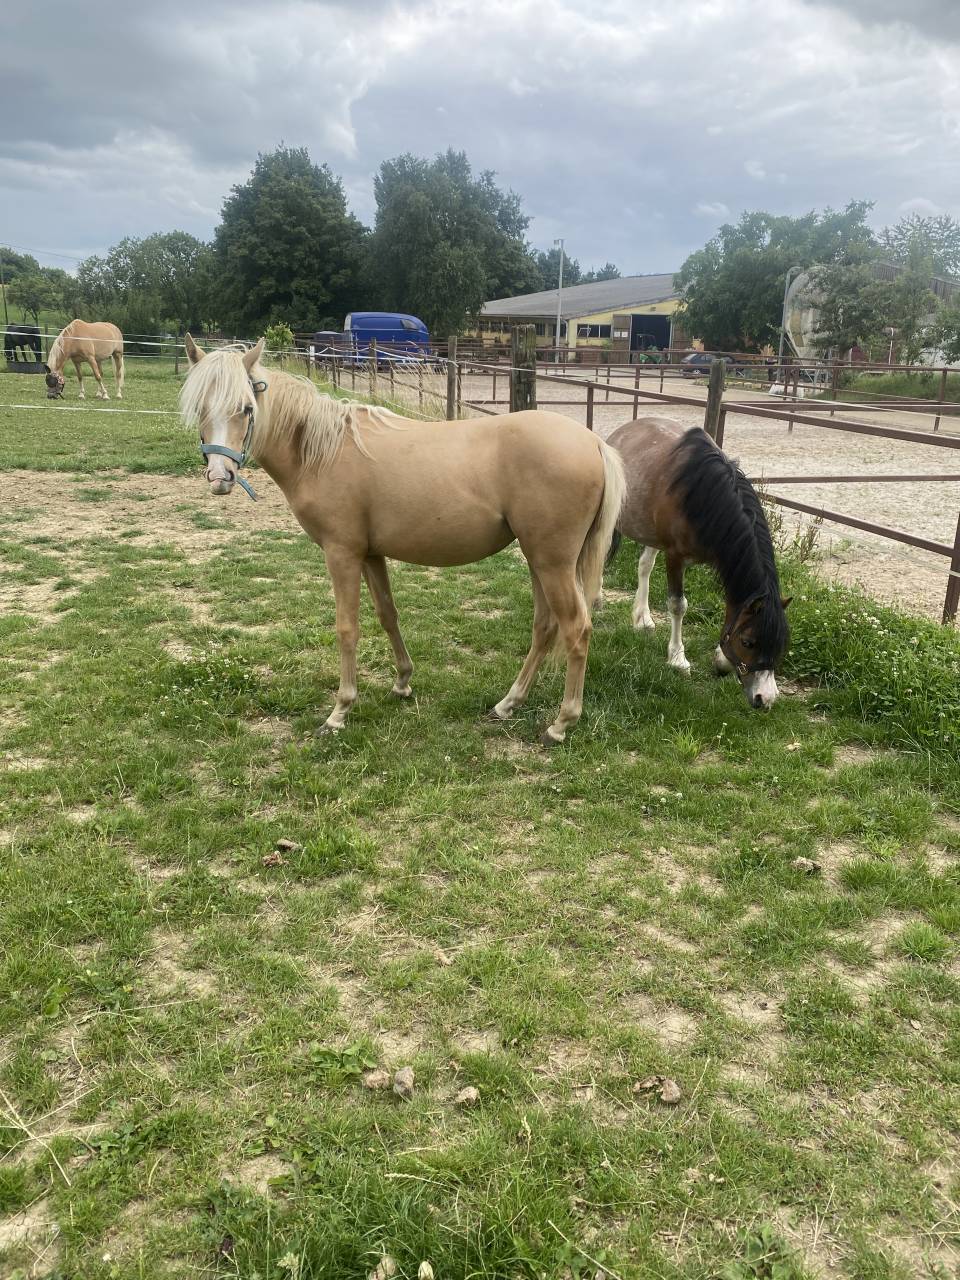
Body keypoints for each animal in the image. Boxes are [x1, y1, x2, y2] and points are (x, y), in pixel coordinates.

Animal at [180, 335, 626, 745]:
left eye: (246, 408)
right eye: (201, 408)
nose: (220, 477)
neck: (324, 451)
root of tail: (592, 441)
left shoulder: (342, 554)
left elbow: (347, 627)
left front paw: (340, 711)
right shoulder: (370, 554)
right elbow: (387, 615)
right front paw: (402, 682)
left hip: (552, 562)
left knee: (576, 629)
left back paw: (561, 723)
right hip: (538, 559)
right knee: (545, 627)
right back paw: (508, 704)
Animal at [606, 417, 790, 709]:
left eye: (780, 645)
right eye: (748, 642)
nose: (765, 698)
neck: (704, 495)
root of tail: (620, 432)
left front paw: (721, 658)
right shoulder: (675, 556)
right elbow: (678, 606)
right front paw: (677, 658)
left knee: (644, 566)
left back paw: (642, 618)